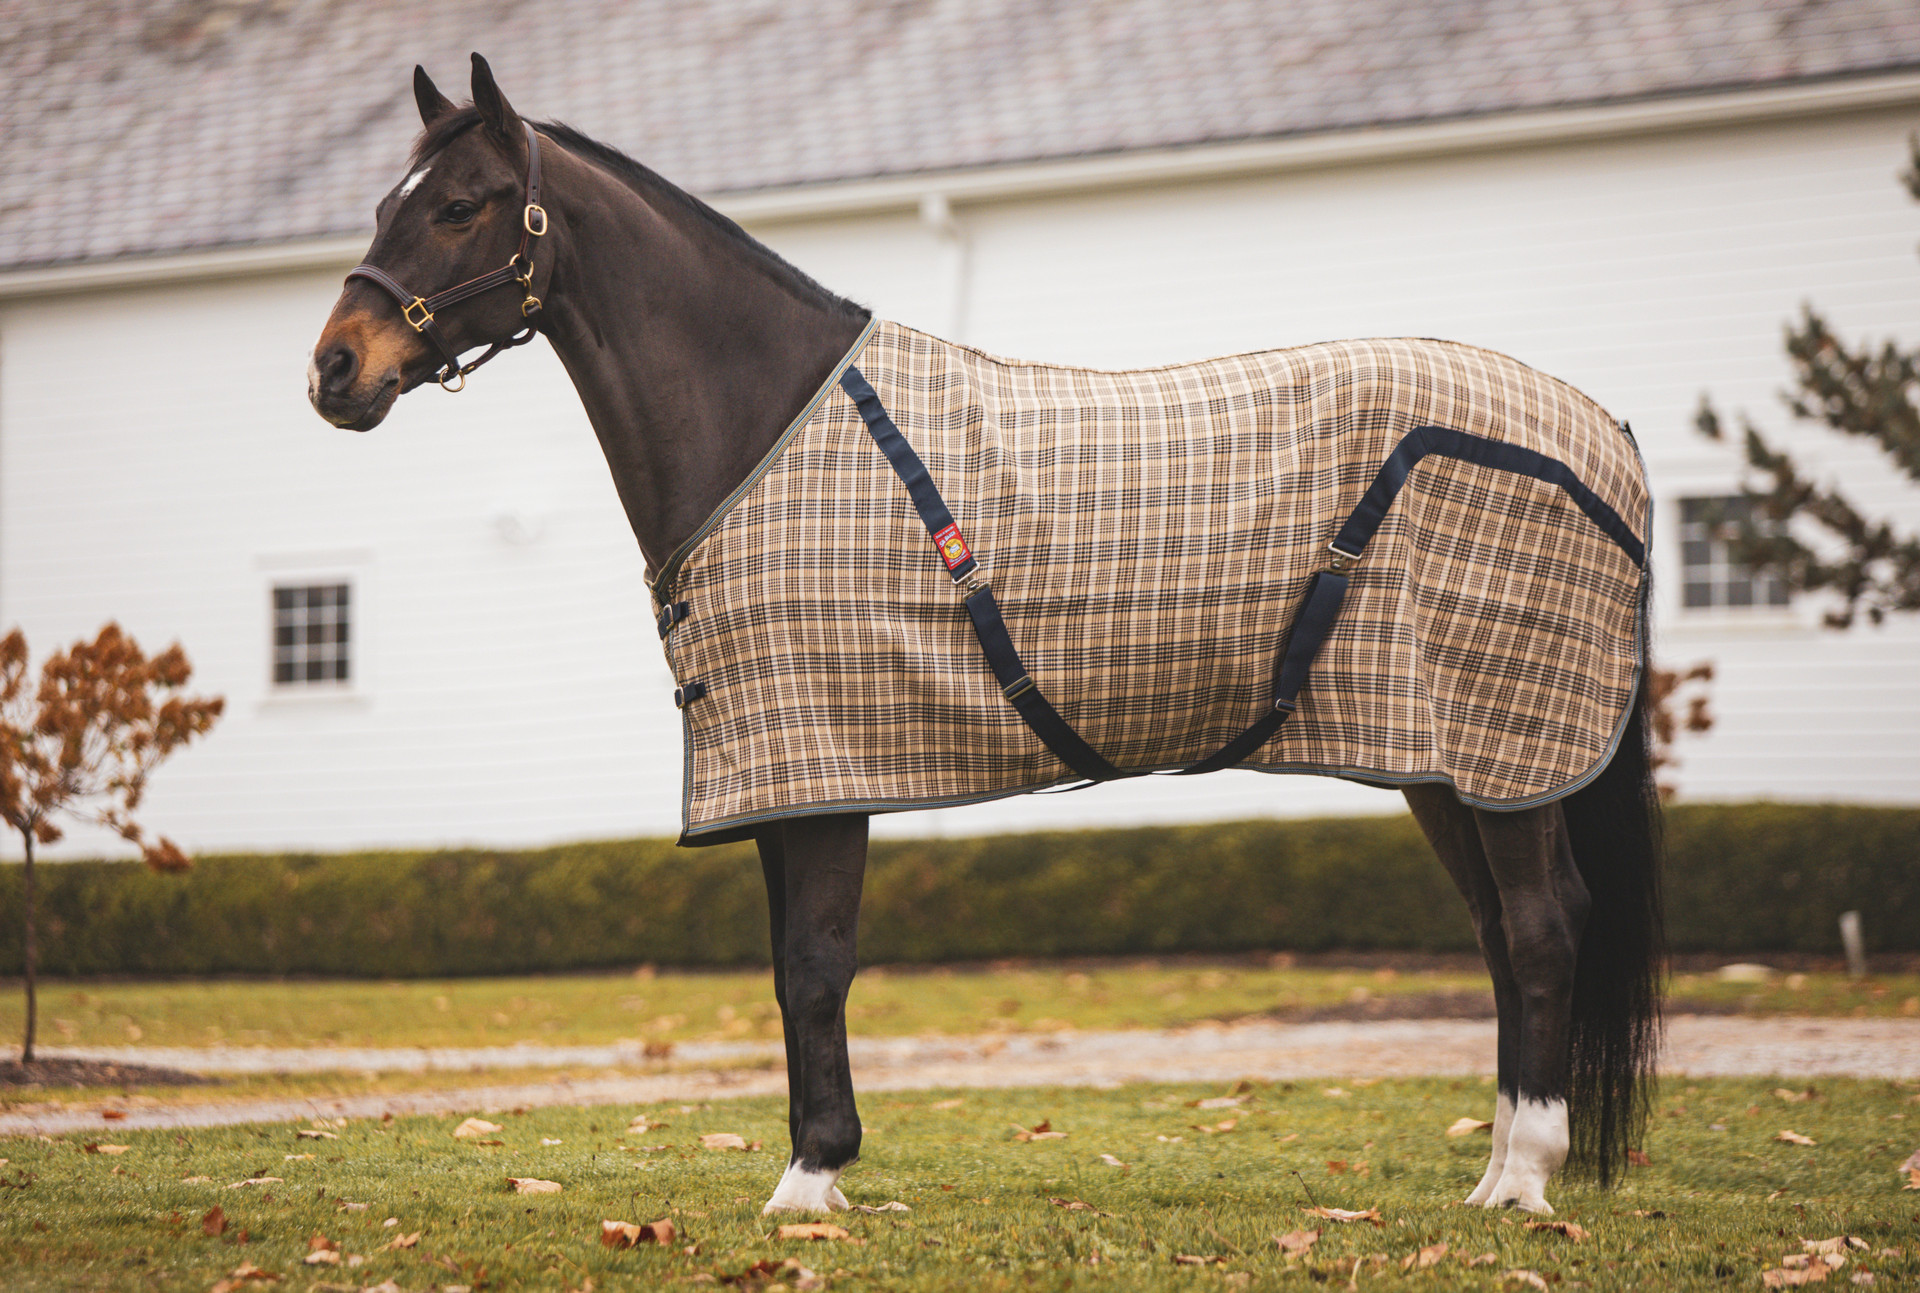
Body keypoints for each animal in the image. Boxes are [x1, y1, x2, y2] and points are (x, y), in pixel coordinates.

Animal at [309, 55, 1663, 1217]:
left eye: (464, 207)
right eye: (385, 202)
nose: (333, 369)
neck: (764, 426)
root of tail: (1602, 431)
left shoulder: (826, 767)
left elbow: (816, 964)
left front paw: (811, 1181)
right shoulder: (781, 778)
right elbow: (787, 972)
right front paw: (815, 1164)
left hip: (1504, 745)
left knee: (1543, 925)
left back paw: (1527, 1179)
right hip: (1445, 760)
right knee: (1499, 934)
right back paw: (1492, 1171)